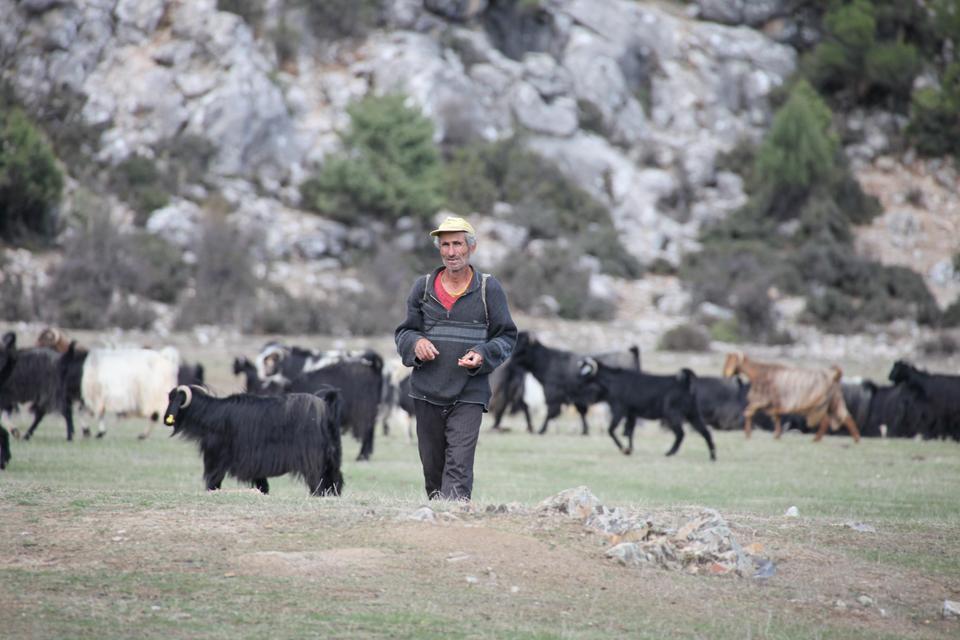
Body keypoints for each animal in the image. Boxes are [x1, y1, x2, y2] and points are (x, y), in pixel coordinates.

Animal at [163, 384, 344, 496]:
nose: (166, 419)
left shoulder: (218, 460)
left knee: (318, 480)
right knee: (335, 479)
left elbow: (213, 482)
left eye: (172, 399)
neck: (212, 415)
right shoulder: (254, 466)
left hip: (313, 459)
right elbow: (262, 484)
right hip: (331, 458)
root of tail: (327, 408)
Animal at [572, 360, 716, 460]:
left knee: (681, 434)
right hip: (693, 413)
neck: (615, 380)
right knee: (705, 432)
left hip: (673, 414)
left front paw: (624, 449)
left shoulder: (619, 409)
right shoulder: (632, 413)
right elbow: (630, 432)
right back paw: (712, 456)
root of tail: (684, 383)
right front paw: (629, 449)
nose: (576, 380)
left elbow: (611, 430)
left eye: (585, 370)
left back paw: (669, 453)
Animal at [720, 352, 864, 442]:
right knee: (845, 417)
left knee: (828, 420)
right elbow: (776, 417)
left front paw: (748, 434)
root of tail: (834, 376)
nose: (724, 374)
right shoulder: (774, 402)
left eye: (729, 360)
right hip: (834, 401)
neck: (759, 372)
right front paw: (777, 435)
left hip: (820, 403)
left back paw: (818, 439)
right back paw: (855, 439)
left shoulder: (762, 400)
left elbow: (749, 412)